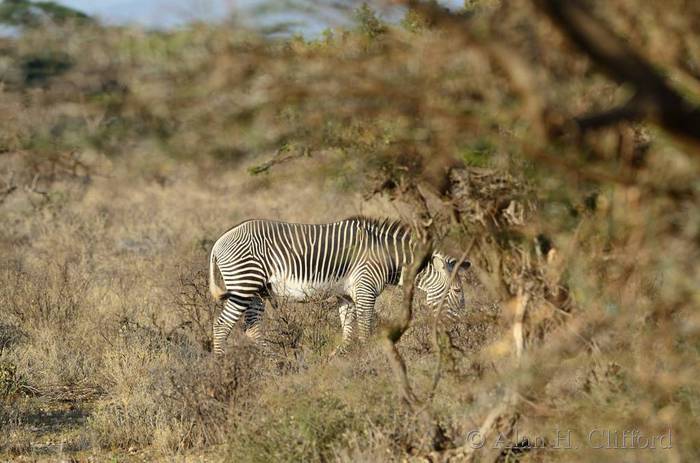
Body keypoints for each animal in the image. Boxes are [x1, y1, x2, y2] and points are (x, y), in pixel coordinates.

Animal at [208, 217, 470, 356]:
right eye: (457, 291)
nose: (458, 329)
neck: (388, 257)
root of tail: (219, 242)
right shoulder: (365, 289)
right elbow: (364, 328)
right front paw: (369, 360)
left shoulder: (347, 295)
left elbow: (348, 330)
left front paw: (340, 357)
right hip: (244, 284)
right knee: (221, 325)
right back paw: (222, 364)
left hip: (256, 291)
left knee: (252, 328)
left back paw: (273, 362)